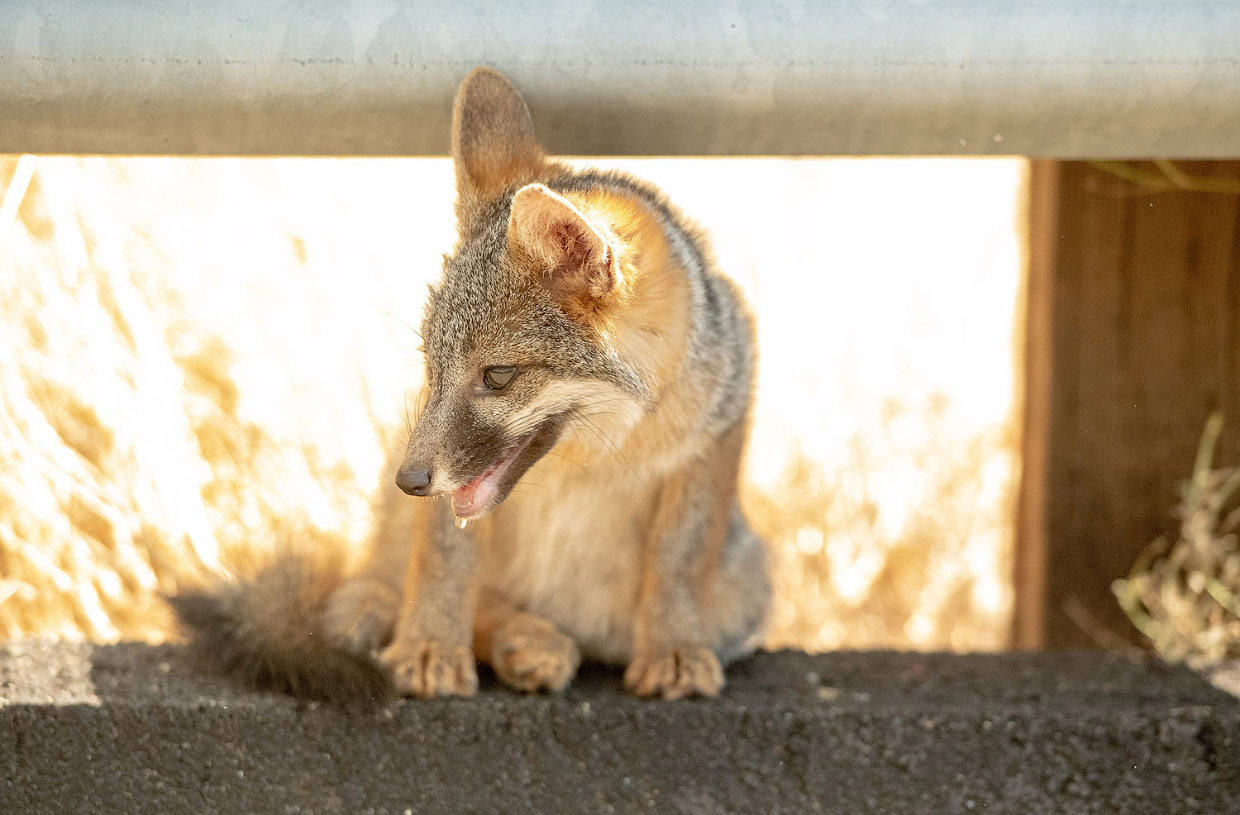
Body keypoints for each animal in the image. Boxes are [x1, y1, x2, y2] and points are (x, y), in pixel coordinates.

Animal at [169, 66, 768, 699]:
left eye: (498, 376)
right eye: (432, 366)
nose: (409, 480)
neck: (596, 459)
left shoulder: (717, 431)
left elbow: (680, 557)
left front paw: (675, 648)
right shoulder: (443, 489)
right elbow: (445, 559)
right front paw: (430, 645)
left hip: (746, 588)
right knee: (396, 581)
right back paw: (500, 635)